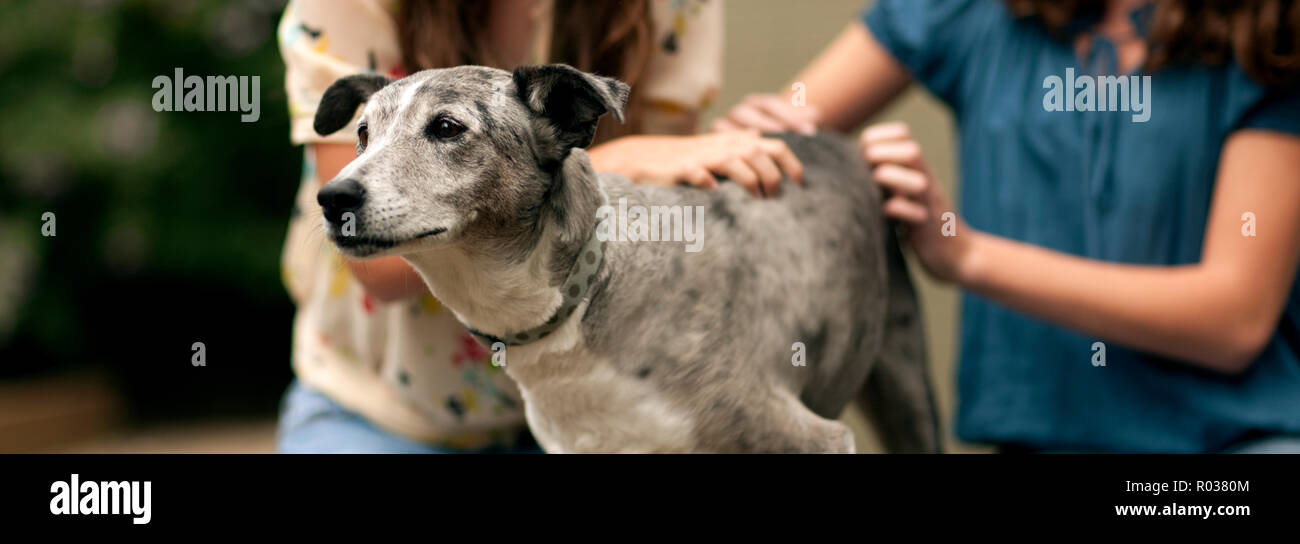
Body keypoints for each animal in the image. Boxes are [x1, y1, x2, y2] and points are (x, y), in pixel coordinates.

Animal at [319, 63, 941, 452]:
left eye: (447, 128)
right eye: (362, 134)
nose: (332, 198)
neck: (585, 293)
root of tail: (833, 138)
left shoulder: (811, 437)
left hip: (908, 388)